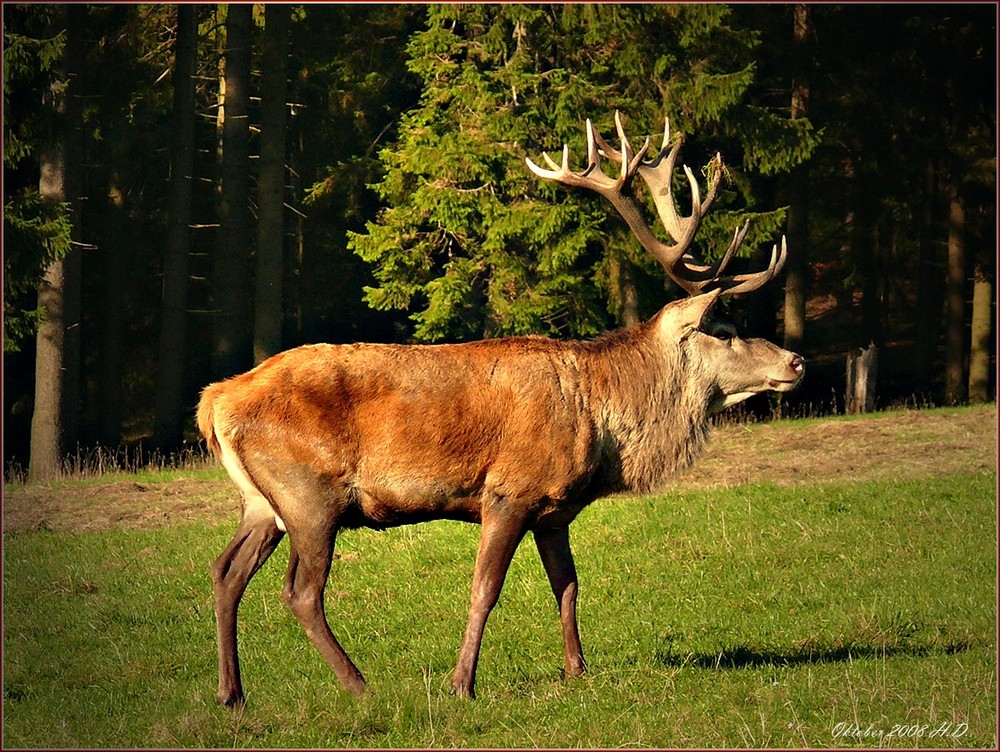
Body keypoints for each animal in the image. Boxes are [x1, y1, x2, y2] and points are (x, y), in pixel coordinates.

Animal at [197, 111, 804, 704]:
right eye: (723, 329)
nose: (796, 361)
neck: (603, 426)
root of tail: (215, 400)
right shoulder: (509, 490)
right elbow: (485, 588)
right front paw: (462, 684)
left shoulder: (554, 510)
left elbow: (568, 586)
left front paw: (577, 671)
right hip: (309, 494)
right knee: (300, 592)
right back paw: (361, 687)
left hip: (262, 503)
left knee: (226, 571)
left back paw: (232, 693)